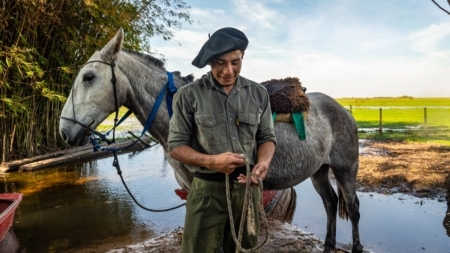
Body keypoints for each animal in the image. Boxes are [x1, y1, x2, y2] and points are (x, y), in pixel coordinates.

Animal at [59, 28, 362, 252]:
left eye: (88, 77)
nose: (64, 131)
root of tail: (341, 109)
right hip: (319, 171)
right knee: (330, 204)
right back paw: (328, 244)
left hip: (345, 169)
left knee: (353, 208)